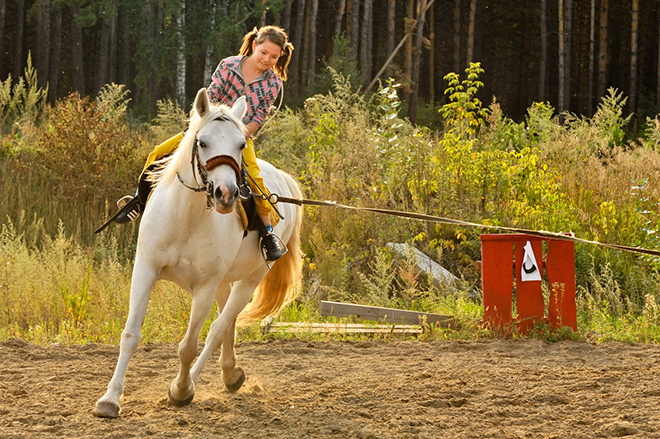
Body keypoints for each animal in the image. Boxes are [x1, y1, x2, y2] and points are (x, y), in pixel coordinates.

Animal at [93, 88, 304, 420]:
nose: (227, 194)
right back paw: (230, 374)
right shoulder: (145, 271)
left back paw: (194, 381)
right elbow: (130, 335)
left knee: (219, 328)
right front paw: (110, 400)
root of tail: (283, 178)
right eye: (202, 142)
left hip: (250, 279)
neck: (186, 218)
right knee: (227, 324)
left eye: (241, 144)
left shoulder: (203, 288)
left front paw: (181, 391)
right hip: (224, 283)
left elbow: (189, 346)